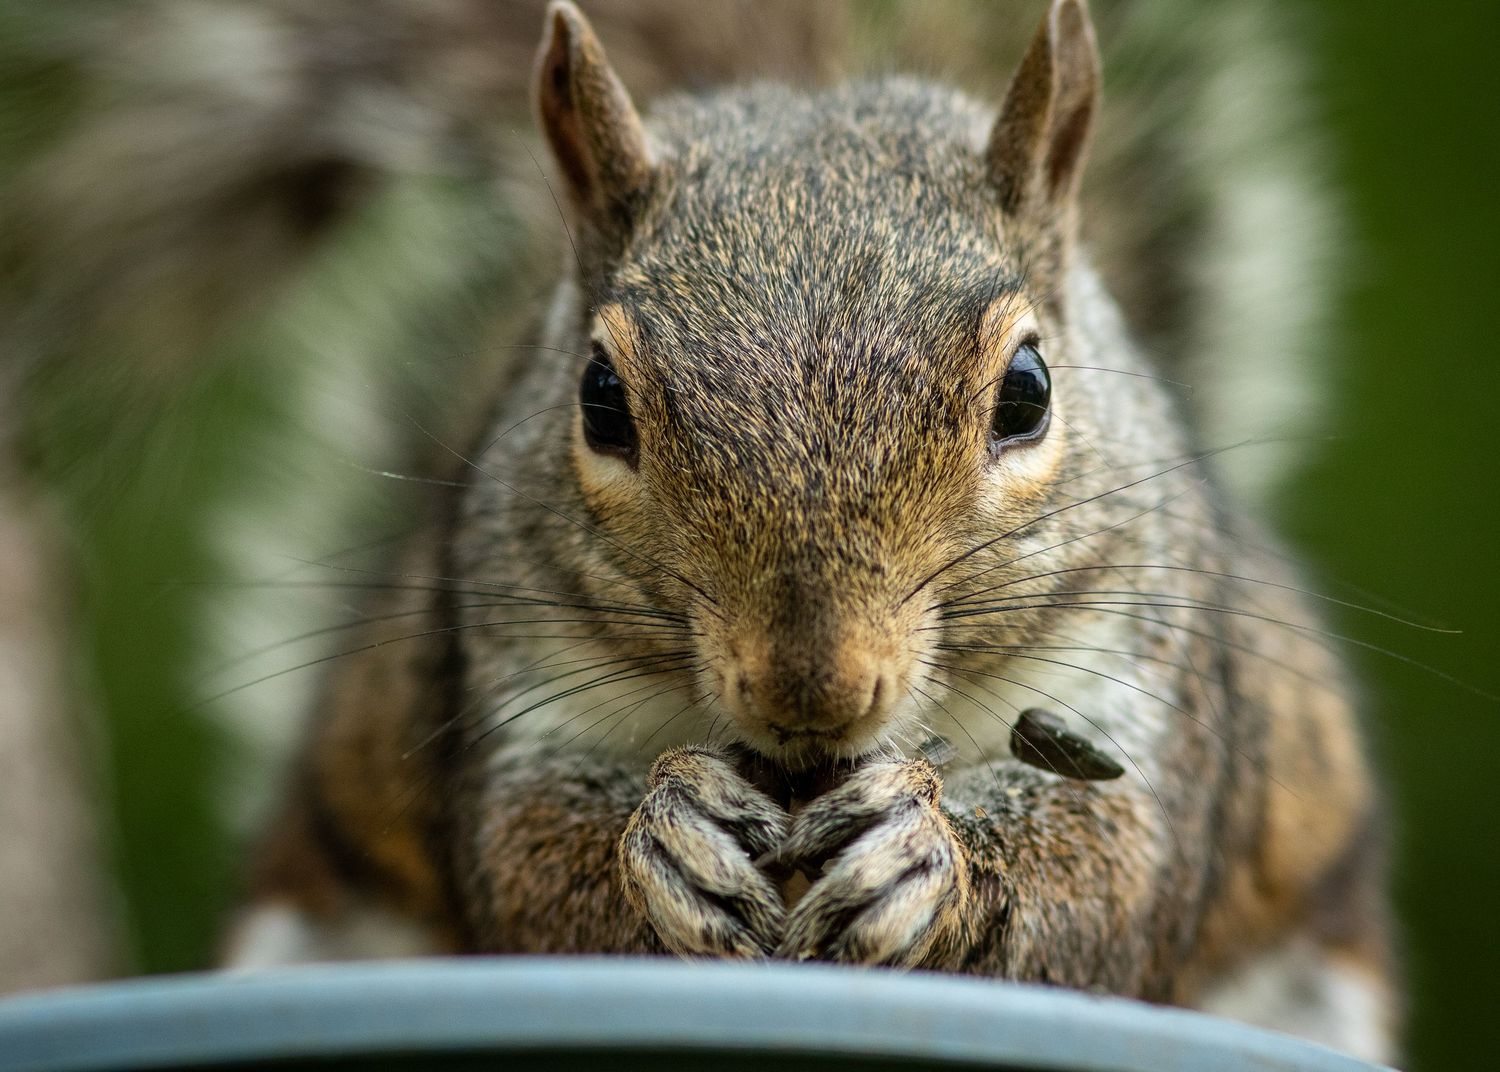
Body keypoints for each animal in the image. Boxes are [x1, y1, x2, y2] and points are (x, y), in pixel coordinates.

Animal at [214, 0, 1395, 1062]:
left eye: (1028, 391)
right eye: (600, 399)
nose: (812, 691)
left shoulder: (1148, 680)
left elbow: (1110, 873)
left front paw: (924, 852)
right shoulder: (505, 687)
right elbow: (522, 853)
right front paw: (669, 835)